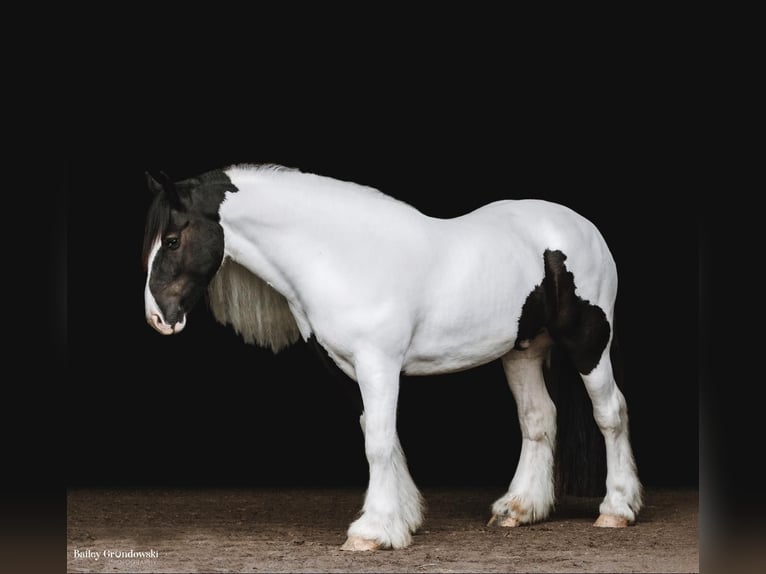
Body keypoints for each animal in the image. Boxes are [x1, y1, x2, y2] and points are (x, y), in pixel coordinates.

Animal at [142, 164, 640, 552]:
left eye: (172, 240)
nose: (157, 317)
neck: (342, 254)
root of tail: (582, 227)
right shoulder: (345, 368)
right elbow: (379, 436)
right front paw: (402, 518)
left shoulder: (378, 364)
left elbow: (378, 444)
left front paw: (372, 532)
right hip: (523, 350)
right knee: (538, 419)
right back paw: (517, 509)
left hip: (588, 343)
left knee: (610, 413)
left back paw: (616, 509)